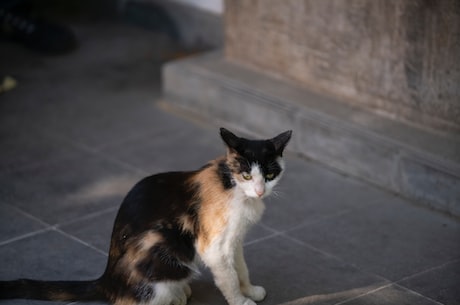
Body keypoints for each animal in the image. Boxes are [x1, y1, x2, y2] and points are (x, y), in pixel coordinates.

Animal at [0, 127, 292, 304]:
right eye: (246, 175)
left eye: (269, 174)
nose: (260, 190)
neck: (230, 185)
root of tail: (107, 281)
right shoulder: (213, 246)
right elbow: (228, 278)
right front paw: (241, 300)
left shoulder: (235, 240)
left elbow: (241, 267)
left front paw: (250, 290)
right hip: (160, 256)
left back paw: (182, 292)